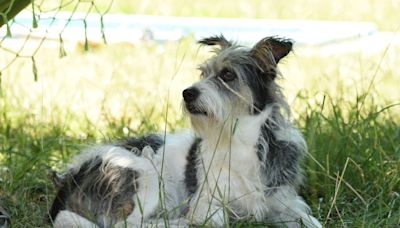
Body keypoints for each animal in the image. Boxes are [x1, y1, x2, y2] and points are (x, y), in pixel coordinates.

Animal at [49, 34, 322, 227]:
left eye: (227, 74)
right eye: (203, 73)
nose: (187, 93)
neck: (239, 139)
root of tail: (69, 179)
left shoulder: (284, 202)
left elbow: (309, 220)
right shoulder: (206, 202)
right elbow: (218, 219)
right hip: (145, 173)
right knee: (127, 224)